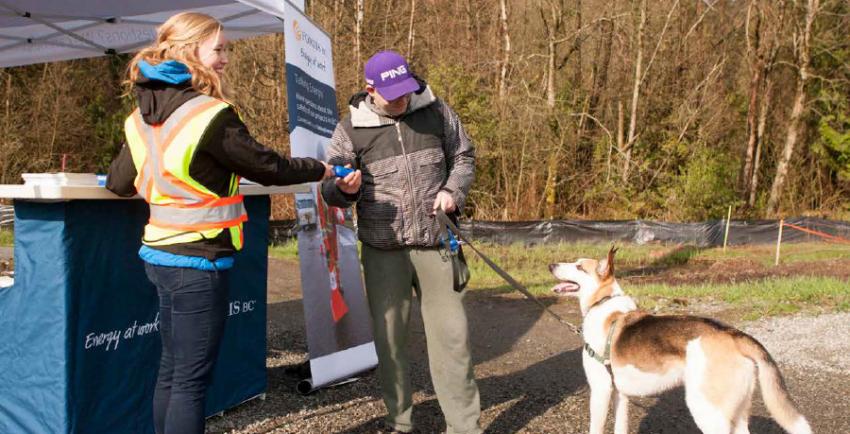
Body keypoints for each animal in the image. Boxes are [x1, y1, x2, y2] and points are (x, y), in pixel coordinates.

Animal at [548, 248, 812, 434]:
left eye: (579, 266)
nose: (551, 265)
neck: (602, 303)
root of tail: (733, 334)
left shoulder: (601, 390)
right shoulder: (619, 394)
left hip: (707, 411)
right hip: (736, 413)